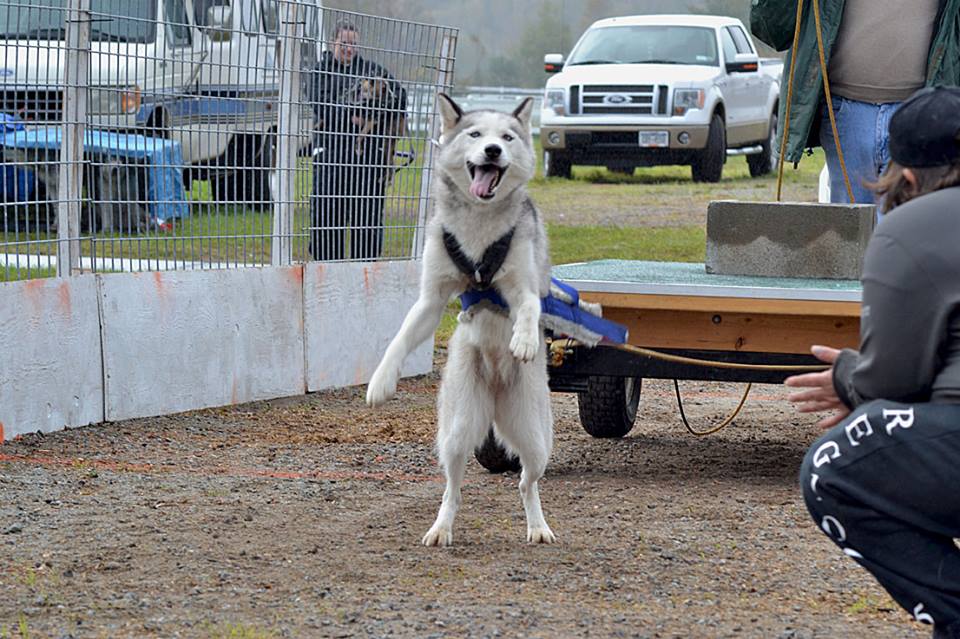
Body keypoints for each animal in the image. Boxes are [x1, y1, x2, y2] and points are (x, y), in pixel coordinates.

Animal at [364, 92, 556, 548]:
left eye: (507, 137)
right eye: (475, 134)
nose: (493, 150)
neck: (480, 222)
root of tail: (496, 395)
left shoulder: (524, 286)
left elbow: (527, 307)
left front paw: (524, 340)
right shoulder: (431, 299)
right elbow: (400, 337)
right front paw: (381, 381)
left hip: (536, 438)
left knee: (526, 481)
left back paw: (537, 526)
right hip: (456, 430)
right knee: (454, 487)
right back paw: (441, 527)